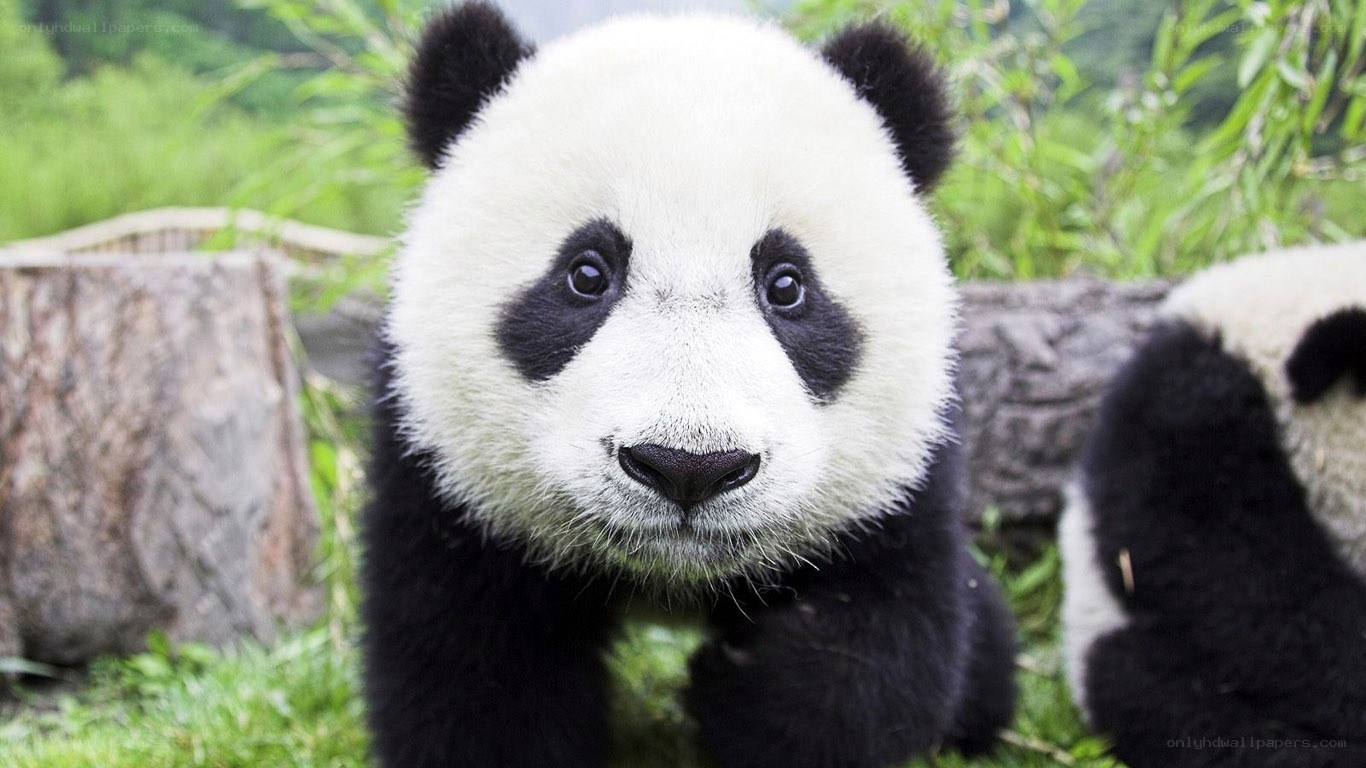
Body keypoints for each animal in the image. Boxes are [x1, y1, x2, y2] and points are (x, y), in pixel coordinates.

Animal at [362, 4, 1017, 767]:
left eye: (787, 285)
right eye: (586, 274)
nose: (689, 468)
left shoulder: (900, 479)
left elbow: (871, 655)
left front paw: (741, 694)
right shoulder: (444, 473)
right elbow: (472, 670)